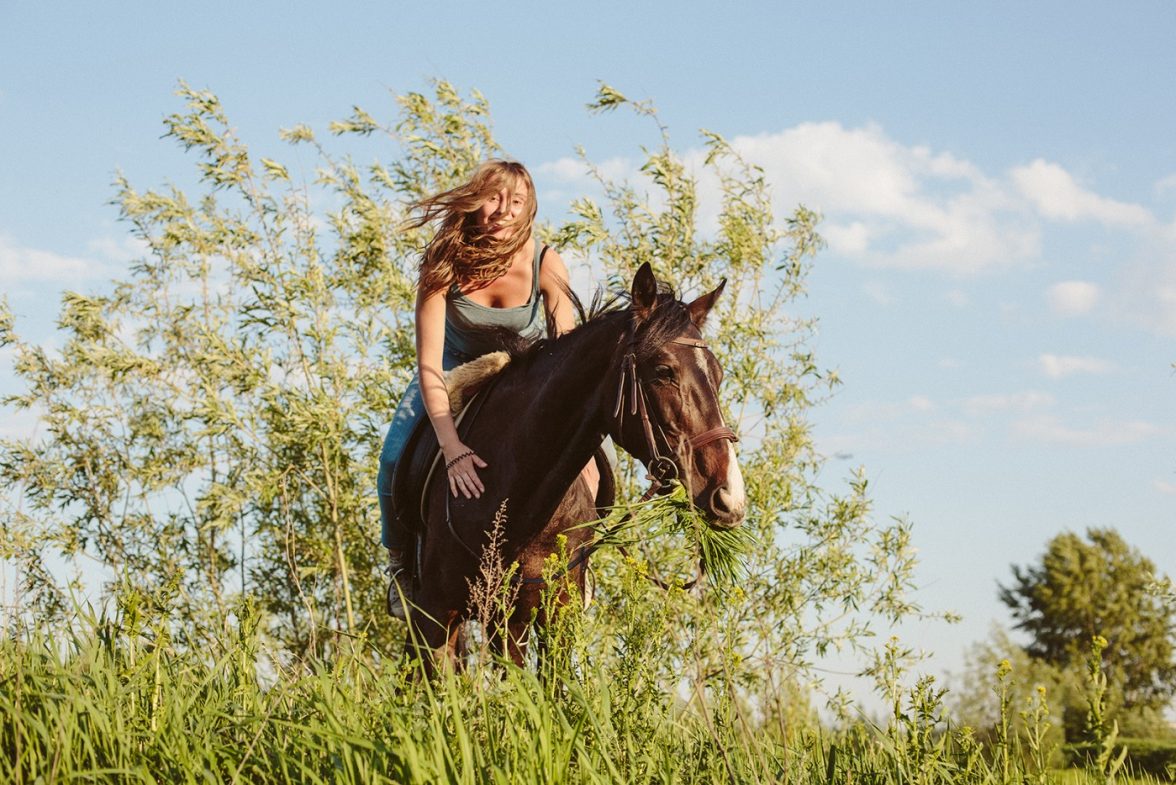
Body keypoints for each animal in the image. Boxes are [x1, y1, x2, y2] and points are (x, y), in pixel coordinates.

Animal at [395, 262, 743, 667]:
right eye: (663, 371)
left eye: (718, 375)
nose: (730, 498)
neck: (516, 494)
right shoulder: (435, 615)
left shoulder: (546, 615)